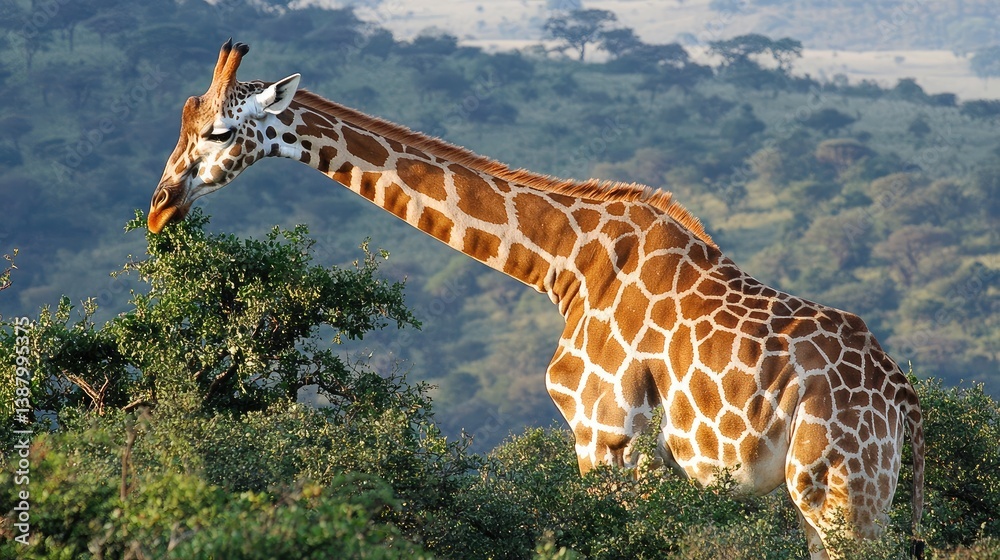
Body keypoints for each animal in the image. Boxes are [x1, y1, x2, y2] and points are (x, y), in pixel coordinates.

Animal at [148, 40, 925, 559]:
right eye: (180, 127)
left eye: (218, 132)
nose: (158, 209)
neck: (564, 266)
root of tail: (905, 401)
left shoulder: (603, 433)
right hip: (843, 497)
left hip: (838, 491)